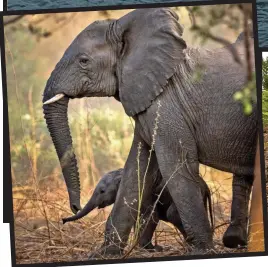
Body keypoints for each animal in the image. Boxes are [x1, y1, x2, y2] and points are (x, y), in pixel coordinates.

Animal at [62, 170, 214, 251]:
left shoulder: (145, 195)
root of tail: (206, 187)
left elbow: (151, 216)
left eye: (102, 191)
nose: (63, 220)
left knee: (172, 214)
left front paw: (149, 249)